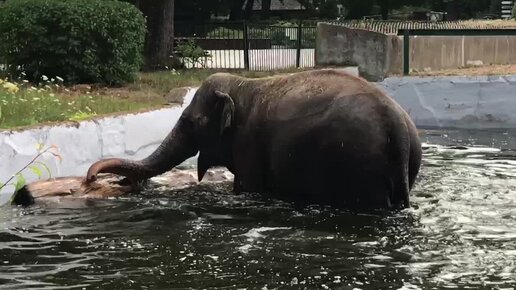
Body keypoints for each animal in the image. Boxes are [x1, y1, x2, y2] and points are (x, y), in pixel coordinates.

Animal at [85, 70, 424, 211]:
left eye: (190, 122)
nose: (92, 178)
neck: (244, 84)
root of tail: (399, 130)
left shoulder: (248, 142)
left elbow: (246, 188)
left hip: (360, 167)